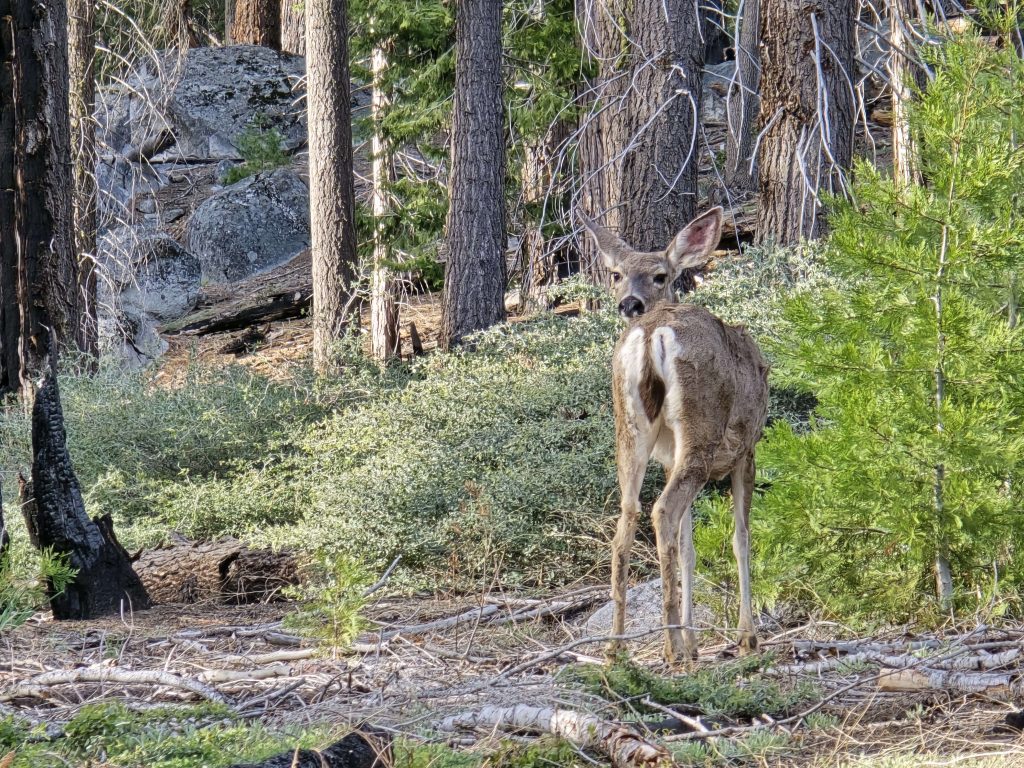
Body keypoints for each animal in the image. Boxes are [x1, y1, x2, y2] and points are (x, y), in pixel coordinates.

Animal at [580, 206, 770, 666]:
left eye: (659, 275)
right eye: (617, 274)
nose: (629, 303)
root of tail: (652, 334)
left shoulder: (668, 459)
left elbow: (688, 548)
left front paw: (696, 640)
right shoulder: (746, 451)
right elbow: (740, 538)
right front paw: (746, 637)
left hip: (629, 430)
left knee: (627, 519)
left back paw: (617, 647)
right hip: (702, 432)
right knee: (663, 512)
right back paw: (670, 647)